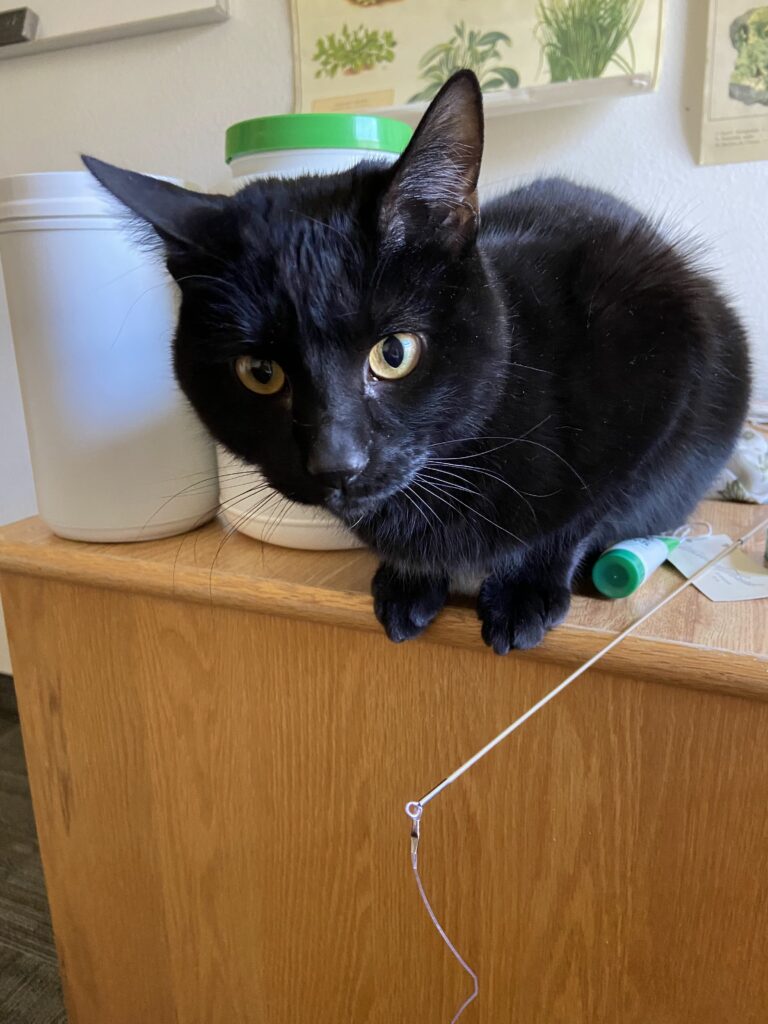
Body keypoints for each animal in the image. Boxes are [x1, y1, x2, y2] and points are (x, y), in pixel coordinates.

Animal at [83, 68, 753, 651]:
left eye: (395, 353)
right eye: (260, 373)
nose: (336, 463)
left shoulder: (661, 346)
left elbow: (584, 511)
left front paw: (524, 589)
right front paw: (408, 580)